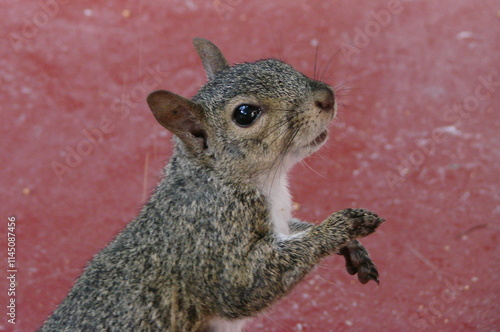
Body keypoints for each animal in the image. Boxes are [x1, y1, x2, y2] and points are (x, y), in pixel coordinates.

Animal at [41, 37, 384, 330]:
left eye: (276, 63)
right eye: (245, 114)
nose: (326, 97)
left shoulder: (281, 221)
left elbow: (297, 231)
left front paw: (353, 248)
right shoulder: (213, 240)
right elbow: (246, 286)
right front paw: (343, 225)